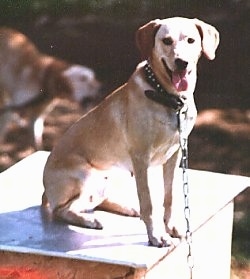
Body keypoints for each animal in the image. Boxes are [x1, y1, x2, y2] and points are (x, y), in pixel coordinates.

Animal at [43, 17, 219, 247]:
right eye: (167, 40)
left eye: (191, 40)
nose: (182, 62)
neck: (168, 99)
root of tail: (45, 190)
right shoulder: (141, 158)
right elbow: (149, 203)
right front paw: (156, 236)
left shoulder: (174, 156)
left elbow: (170, 197)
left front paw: (171, 227)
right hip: (85, 175)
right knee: (61, 210)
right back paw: (89, 220)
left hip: (109, 176)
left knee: (93, 202)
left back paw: (126, 208)